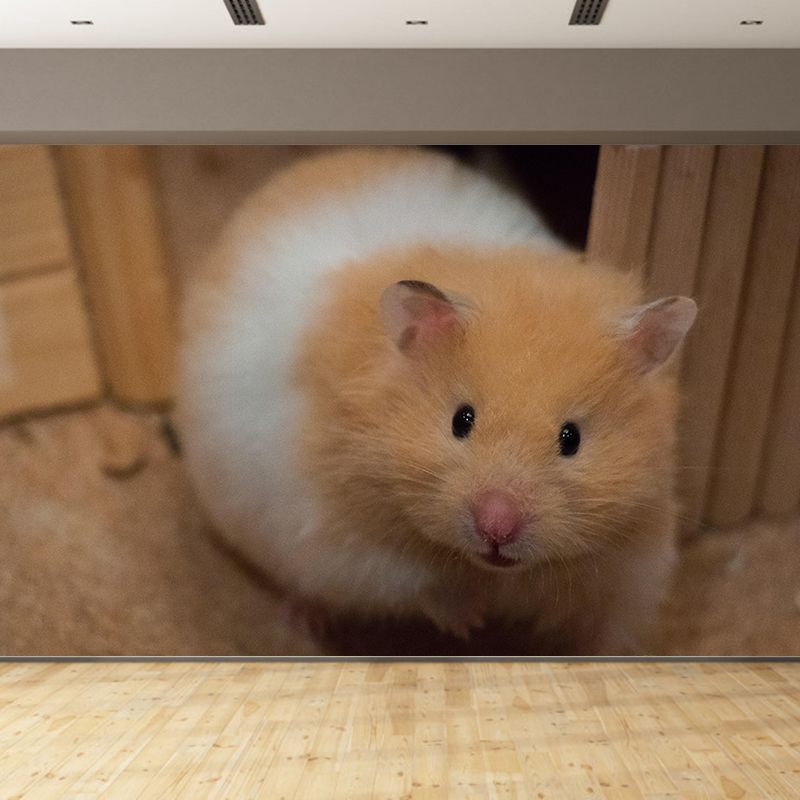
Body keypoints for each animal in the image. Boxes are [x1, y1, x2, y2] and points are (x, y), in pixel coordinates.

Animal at [177, 147, 696, 654]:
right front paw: (471, 622)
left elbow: (607, 631)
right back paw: (306, 620)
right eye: (460, 421)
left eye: (572, 439)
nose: (497, 528)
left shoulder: (632, 565)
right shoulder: (348, 549)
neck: (491, 569)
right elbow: (418, 584)